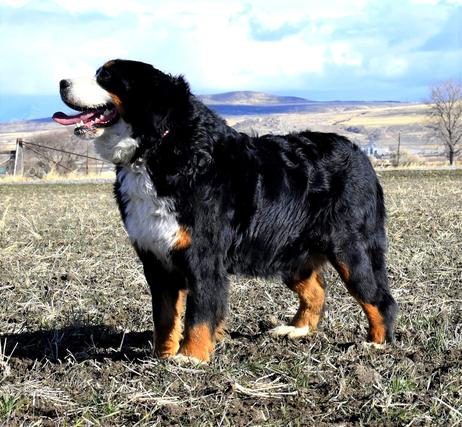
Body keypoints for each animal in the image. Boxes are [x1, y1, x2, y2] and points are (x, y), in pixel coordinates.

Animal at [52, 58, 398, 362]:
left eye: (106, 77)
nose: (61, 81)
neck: (158, 150)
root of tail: (360, 155)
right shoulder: (157, 257)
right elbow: (164, 317)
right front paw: (162, 356)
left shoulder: (202, 256)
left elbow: (200, 314)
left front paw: (191, 358)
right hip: (289, 253)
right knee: (316, 291)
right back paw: (296, 330)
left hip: (350, 250)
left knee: (379, 298)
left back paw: (376, 344)